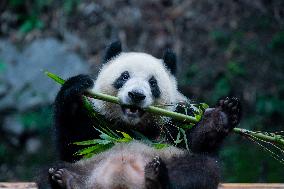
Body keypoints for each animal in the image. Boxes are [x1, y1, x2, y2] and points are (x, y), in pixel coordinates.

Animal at [47, 41, 242, 189]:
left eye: (153, 83)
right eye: (124, 76)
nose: (136, 95)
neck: (131, 126)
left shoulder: (176, 118)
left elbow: (195, 143)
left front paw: (221, 115)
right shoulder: (96, 120)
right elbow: (73, 145)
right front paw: (75, 89)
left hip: (171, 159)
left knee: (199, 168)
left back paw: (156, 179)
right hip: (86, 166)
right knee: (50, 171)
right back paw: (67, 180)